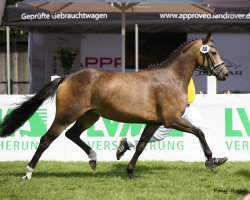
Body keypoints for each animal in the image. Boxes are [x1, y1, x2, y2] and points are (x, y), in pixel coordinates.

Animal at [0, 32, 228, 179]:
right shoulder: (171, 120)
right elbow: (199, 132)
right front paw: (211, 160)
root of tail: (66, 77)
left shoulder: (154, 122)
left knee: (72, 134)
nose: (224, 73)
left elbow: (141, 145)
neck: (170, 78)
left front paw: (130, 172)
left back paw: (93, 159)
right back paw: (28, 173)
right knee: (46, 140)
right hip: (66, 115)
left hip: (90, 116)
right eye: (213, 52)